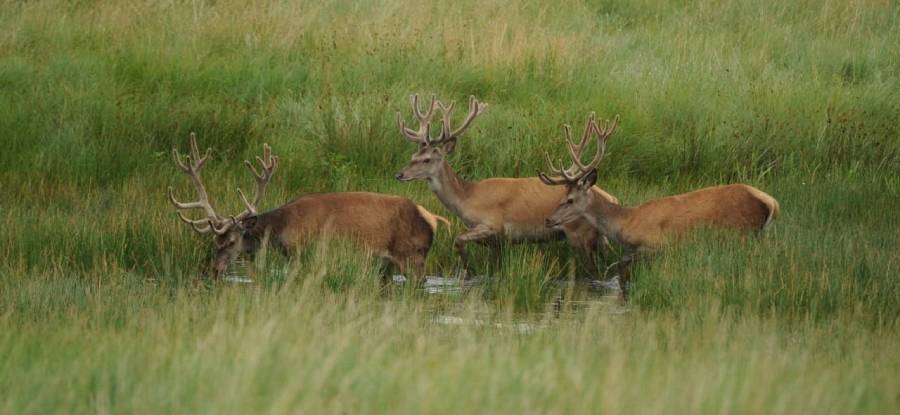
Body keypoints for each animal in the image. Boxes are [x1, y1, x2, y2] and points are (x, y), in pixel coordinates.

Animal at [168, 133, 449, 282]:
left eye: (231, 241)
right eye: (214, 242)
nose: (214, 271)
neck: (283, 227)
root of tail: (433, 218)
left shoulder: (302, 251)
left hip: (413, 256)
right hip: (389, 263)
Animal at [394, 95, 620, 279]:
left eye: (426, 159)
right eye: (413, 156)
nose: (400, 174)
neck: (467, 199)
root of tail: (612, 198)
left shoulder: (492, 224)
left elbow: (458, 239)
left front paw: (469, 270)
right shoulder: (499, 241)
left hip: (579, 233)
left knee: (593, 269)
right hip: (598, 236)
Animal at [540, 114, 780, 299]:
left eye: (570, 199)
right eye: (563, 196)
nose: (549, 219)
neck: (625, 223)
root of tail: (772, 203)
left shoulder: (658, 244)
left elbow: (621, 265)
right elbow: (622, 267)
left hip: (741, 233)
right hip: (761, 235)